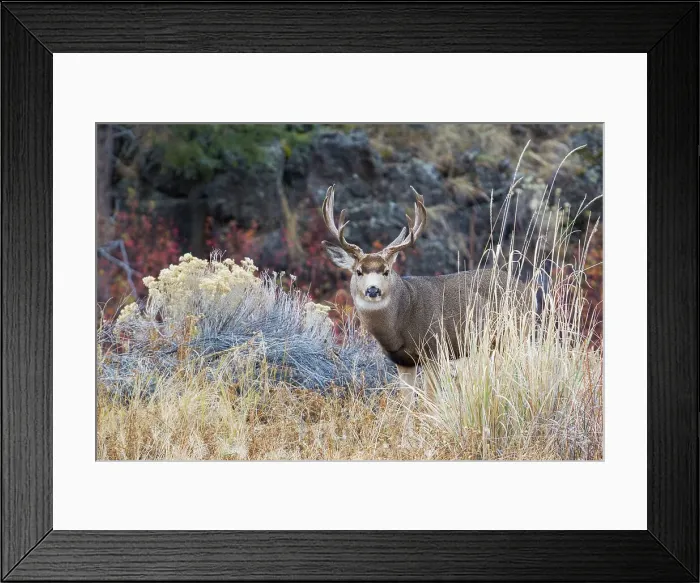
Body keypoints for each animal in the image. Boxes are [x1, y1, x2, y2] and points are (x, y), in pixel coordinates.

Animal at [321, 185, 530, 405]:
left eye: (386, 271)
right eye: (359, 271)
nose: (372, 290)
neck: (400, 322)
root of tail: (525, 287)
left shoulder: (434, 350)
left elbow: (430, 400)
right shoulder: (403, 360)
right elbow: (406, 401)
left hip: (514, 333)